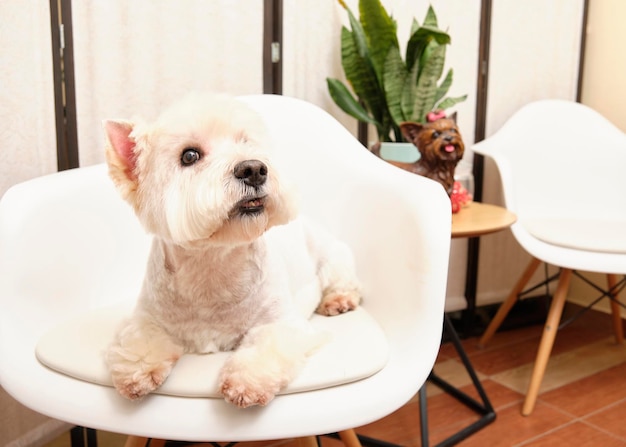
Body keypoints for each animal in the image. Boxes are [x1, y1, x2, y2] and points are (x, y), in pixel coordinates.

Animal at [102, 93, 360, 408]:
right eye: (189, 155)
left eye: (246, 143)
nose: (253, 169)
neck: (213, 265)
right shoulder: (149, 317)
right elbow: (141, 336)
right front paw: (136, 371)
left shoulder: (282, 323)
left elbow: (267, 345)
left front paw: (245, 382)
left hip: (331, 256)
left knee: (343, 280)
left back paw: (339, 300)